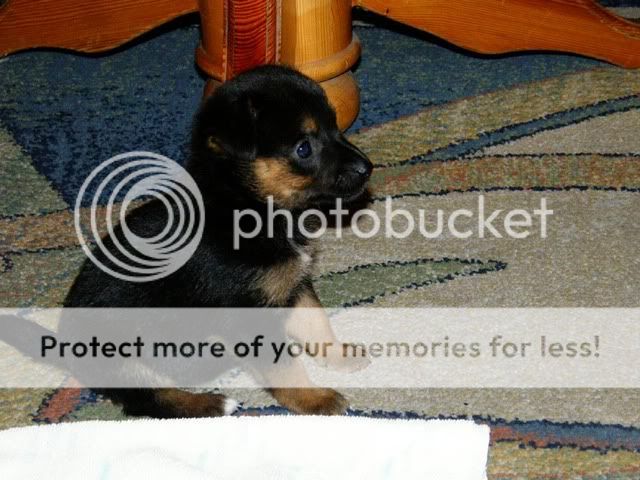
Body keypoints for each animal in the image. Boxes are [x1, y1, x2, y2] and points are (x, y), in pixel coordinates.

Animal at [62, 65, 373, 417]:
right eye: (303, 148)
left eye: (335, 126)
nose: (367, 168)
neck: (244, 204)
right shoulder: (249, 314)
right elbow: (284, 367)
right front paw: (314, 399)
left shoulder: (293, 286)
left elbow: (316, 322)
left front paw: (339, 354)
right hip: (119, 354)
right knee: (149, 399)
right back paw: (213, 403)